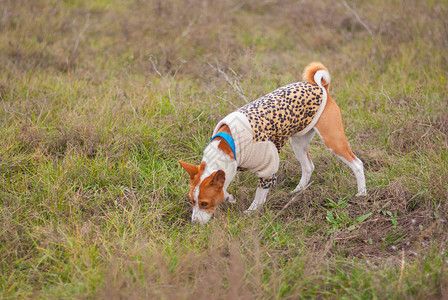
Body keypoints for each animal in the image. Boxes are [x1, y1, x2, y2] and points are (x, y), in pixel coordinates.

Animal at [180, 62, 366, 224]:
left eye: (204, 203)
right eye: (191, 201)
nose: (194, 223)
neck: (227, 146)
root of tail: (321, 87)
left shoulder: (267, 167)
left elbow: (259, 195)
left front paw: (251, 211)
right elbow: (225, 187)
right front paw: (229, 197)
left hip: (333, 140)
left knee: (357, 164)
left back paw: (362, 194)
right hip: (298, 142)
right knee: (308, 167)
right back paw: (298, 190)